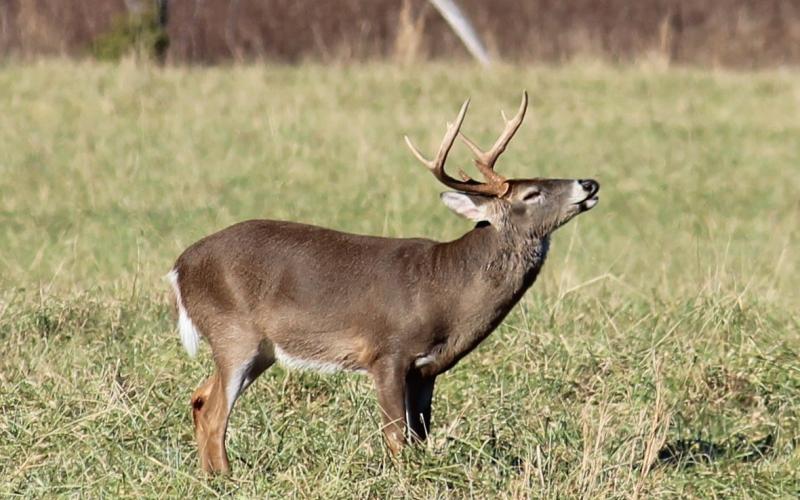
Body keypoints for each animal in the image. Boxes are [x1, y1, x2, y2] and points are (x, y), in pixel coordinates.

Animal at [167, 91, 599, 473]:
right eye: (532, 192)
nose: (590, 183)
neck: (447, 288)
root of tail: (179, 267)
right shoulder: (387, 351)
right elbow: (396, 435)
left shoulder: (426, 369)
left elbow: (420, 435)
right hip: (234, 331)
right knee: (215, 413)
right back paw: (227, 478)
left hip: (261, 349)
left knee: (200, 398)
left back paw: (210, 475)